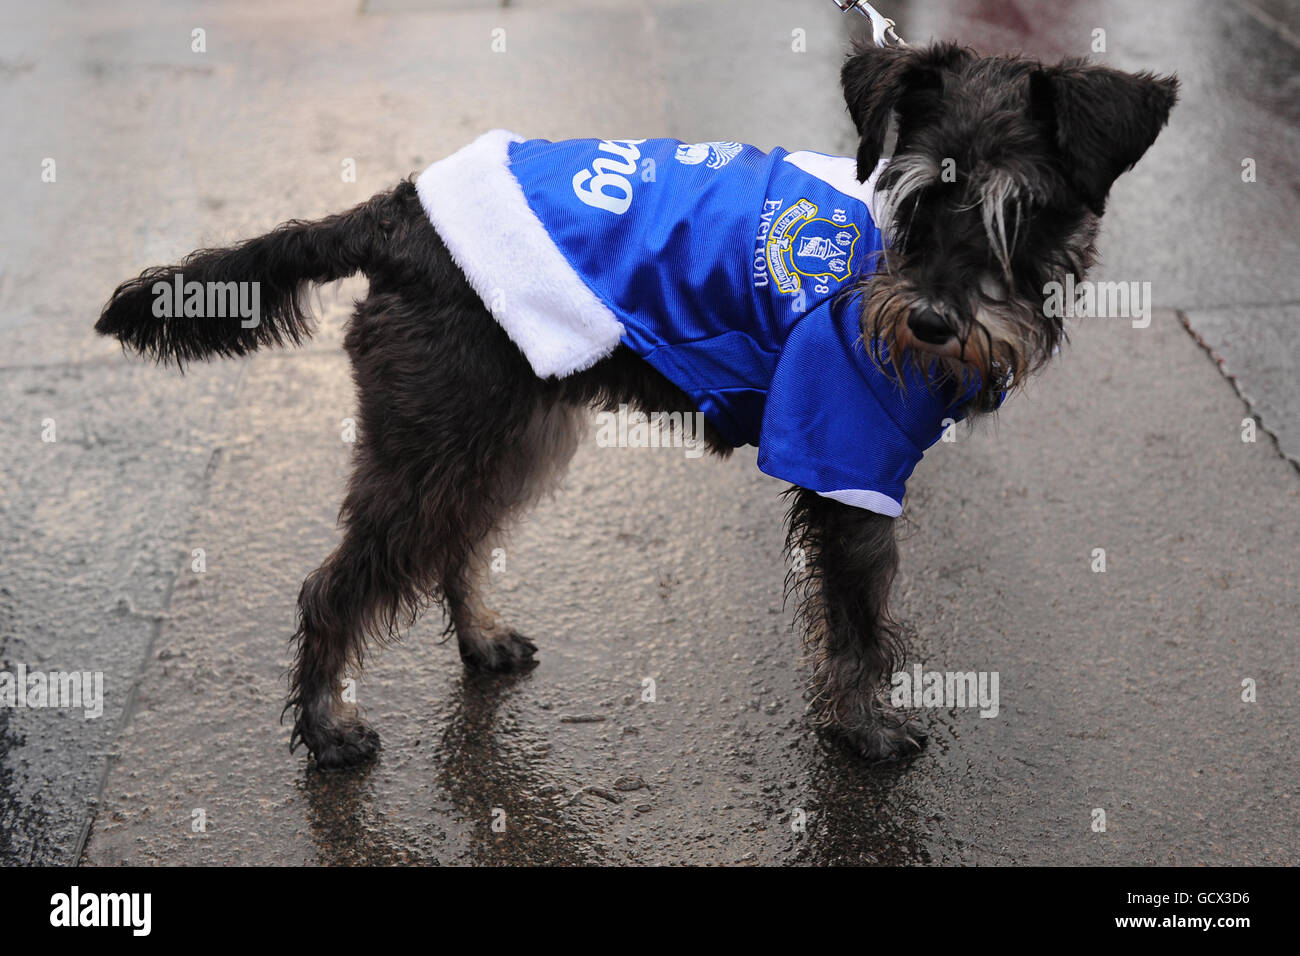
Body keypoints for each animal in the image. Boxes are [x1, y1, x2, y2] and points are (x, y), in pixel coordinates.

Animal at [98, 42, 1180, 770]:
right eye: (912, 198)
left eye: (1018, 209)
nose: (930, 322)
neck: (877, 264)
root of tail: (398, 213)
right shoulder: (844, 464)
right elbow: (860, 621)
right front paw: (864, 726)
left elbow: (853, 615)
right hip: (440, 442)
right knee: (335, 587)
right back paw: (328, 727)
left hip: (509, 436)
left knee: (458, 543)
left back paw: (481, 638)